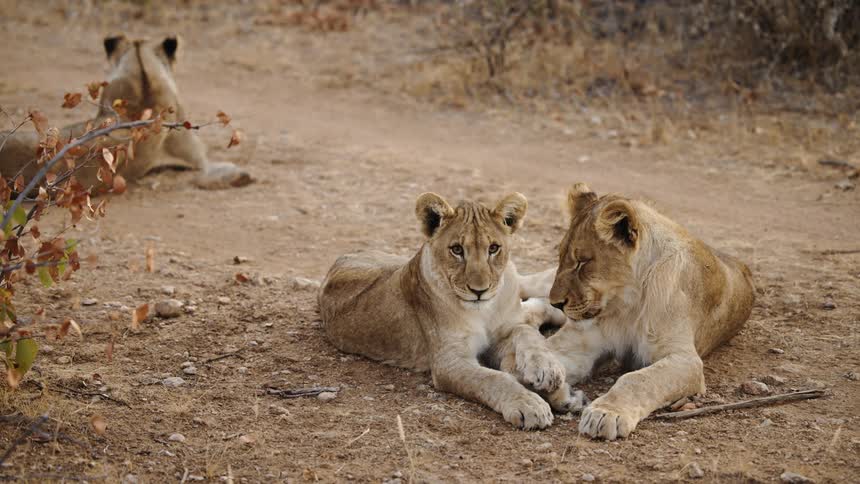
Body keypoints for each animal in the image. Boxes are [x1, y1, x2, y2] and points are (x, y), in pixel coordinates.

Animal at [318, 192, 585, 430]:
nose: (479, 290)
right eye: (457, 250)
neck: (484, 310)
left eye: (493, 248)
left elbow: (527, 334)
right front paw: (531, 404)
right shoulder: (449, 362)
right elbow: (494, 378)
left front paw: (548, 370)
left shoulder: (503, 332)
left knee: (527, 295)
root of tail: (348, 254)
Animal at [546, 183, 755, 440]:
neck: (627, 304)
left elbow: (638, 379)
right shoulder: (581, 344)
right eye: (560, 256)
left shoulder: (686, 360)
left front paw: (606, 413)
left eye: (583, 262)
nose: (555, 303)